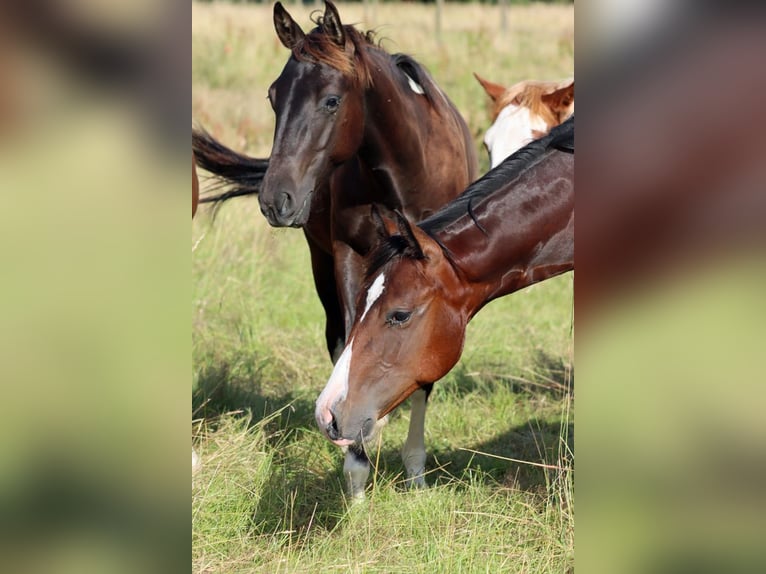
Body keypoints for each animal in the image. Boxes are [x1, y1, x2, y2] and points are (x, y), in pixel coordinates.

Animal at [193, 1, 478, 498]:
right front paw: (356, 471)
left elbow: (423, 368)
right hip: (320, 265)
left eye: (331, 100)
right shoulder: (350, 257)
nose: (275, 199)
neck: (406, 172)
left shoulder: (433, 273)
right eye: (273, 97)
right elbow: (351, 337)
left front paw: (416, 470)